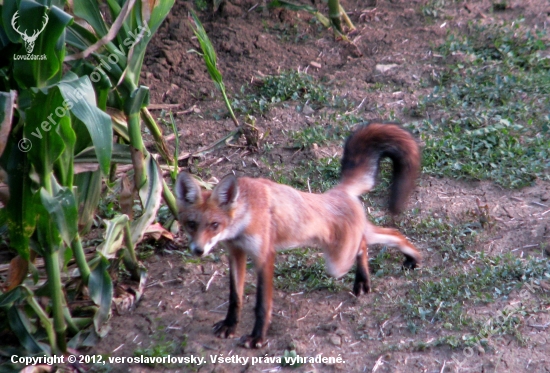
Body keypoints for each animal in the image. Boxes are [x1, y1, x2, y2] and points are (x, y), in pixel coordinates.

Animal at [177, 123, 422, 348]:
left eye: (214, 225)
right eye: (191, 225)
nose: (198, 250)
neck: (245, 217)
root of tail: (339, 191)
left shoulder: (264, 256)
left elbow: (262, 305)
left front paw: (257, 337)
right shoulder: (236, 254)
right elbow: (235, 298)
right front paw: (230, 325)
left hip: (338, 262)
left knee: (368, 241)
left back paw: (374, 274)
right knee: (386, 234)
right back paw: (406, 260)